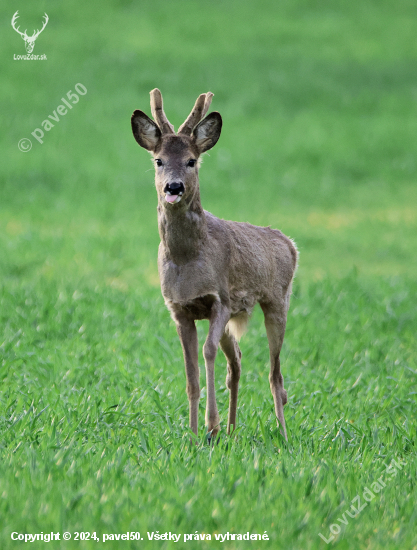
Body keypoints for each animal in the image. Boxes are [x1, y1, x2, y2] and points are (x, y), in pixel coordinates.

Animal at [130, 90, 296, 444]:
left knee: (275, 373)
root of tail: (288, 242)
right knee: (237, 363)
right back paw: (234, 430)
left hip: (277, 301)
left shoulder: (221, 300)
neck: (187, 258)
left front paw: (211, 427)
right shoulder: (179, 309)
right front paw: (194, 433)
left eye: (191, 161)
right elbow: (190, 371)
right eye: (158, 160)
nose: (173, 187)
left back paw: (283, 434)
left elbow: (207, 353)